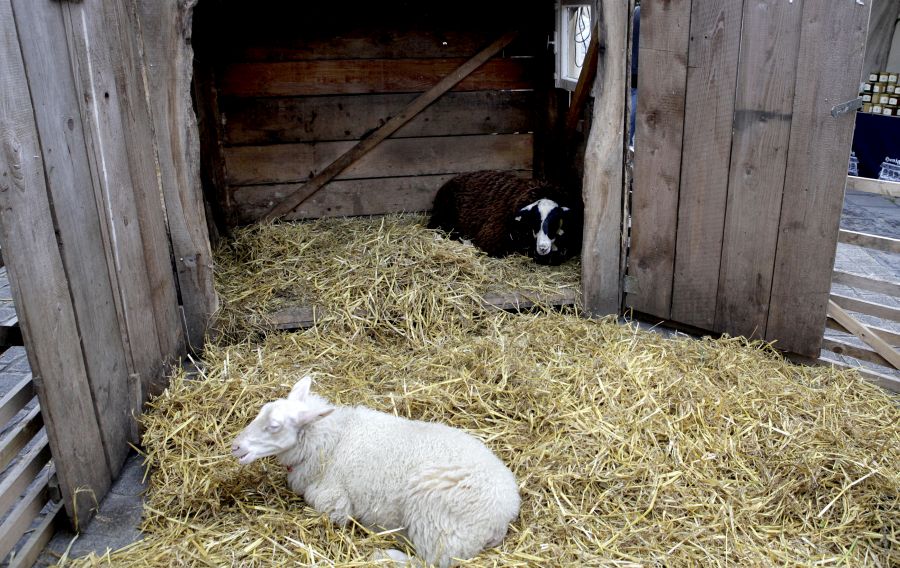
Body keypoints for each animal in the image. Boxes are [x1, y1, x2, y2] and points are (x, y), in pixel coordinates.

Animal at [231, 376, 521, 567]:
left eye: (274, 426)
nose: (235, 446)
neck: (332, 439)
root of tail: (505, 513)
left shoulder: (333, 502)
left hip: (439, 525)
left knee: (432, 562)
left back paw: (385, 556)